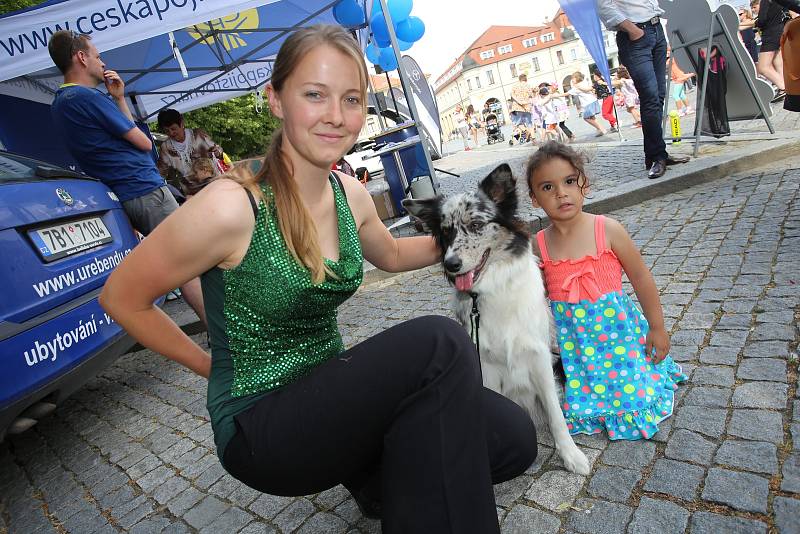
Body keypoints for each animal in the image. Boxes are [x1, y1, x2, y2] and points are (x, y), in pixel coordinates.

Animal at [406, 165, 588, 476]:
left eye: (476, 224)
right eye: (446, 231)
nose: (451, 265)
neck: (493, 290)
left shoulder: (539, 356)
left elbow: (555, 414)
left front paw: (571, 455)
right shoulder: (485, 364)